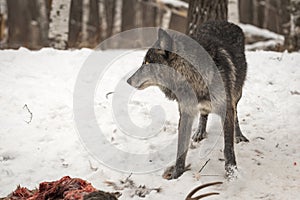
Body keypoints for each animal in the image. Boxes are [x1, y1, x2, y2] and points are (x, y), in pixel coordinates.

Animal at [126, 20, 248, 180]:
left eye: (146, 63)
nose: (128, 80)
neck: (192, 78)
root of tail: (226, 22)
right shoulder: (186, 114)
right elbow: (181, 149)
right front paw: (176, 175)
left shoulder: (226, 109)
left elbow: (228, 148)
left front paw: (232, 173)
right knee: (204, 114)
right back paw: (200, 132)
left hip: (237, 93)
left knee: (236, 113)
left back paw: (238, 135)